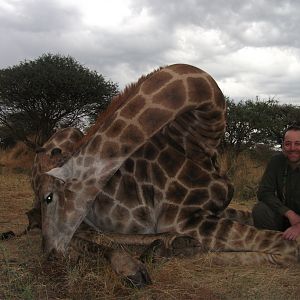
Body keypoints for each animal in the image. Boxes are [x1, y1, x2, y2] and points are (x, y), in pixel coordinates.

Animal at [31, 64, 298, 284]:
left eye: (50, 198)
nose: (50, 254)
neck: (199, 143)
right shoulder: (183, 218)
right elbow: (288, 247)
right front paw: (191, 252)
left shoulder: (215, 209)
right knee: (74, 231)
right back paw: (143, 261)